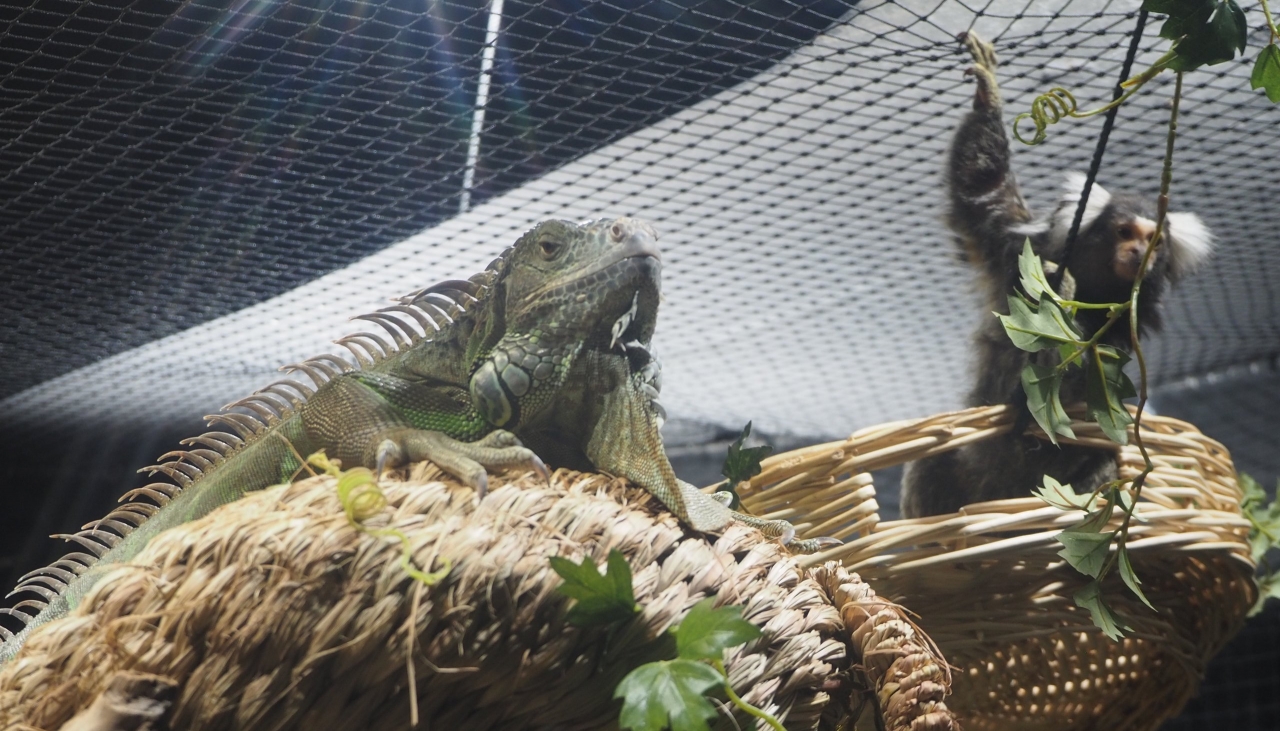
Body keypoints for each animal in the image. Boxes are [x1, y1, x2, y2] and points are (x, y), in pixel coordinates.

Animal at [899, 32, 1214, 518]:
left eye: (1154, 242)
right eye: (1124, 231)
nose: (1137, 252)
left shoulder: (1123, 333)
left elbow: (1071, 388)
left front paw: (1060, 302)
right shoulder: (1013, 249)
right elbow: (980, 190)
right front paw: (988, 95)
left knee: (1102, 457)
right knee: (932, 460)